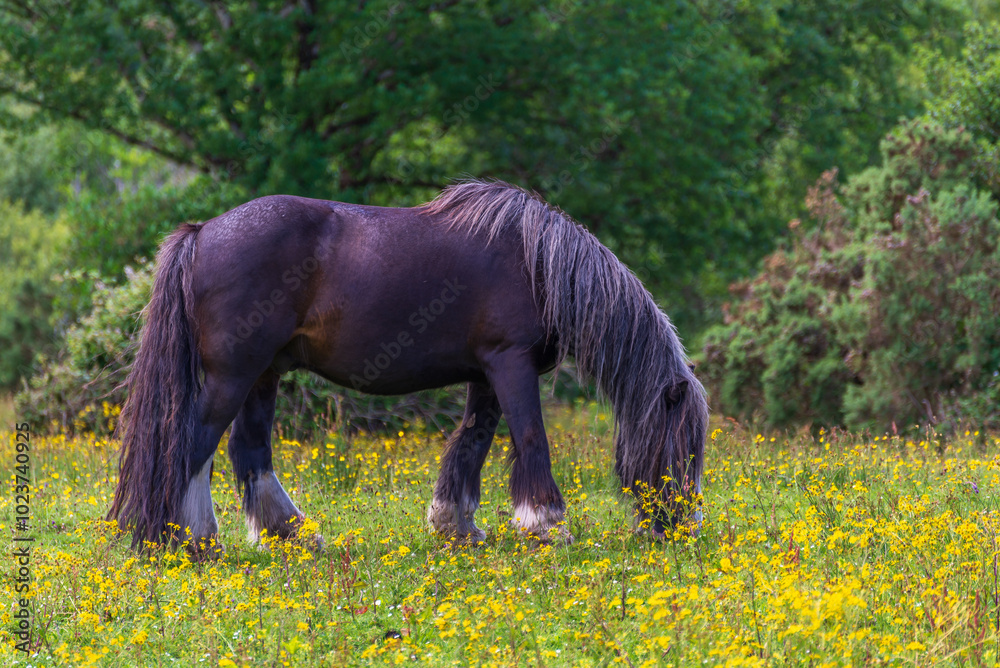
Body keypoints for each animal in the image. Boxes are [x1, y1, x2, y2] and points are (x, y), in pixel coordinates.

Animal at [107, 179, 708, 554]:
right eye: (681, 447)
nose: (683, 528)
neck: (539, 263)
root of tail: (203, 231)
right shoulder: (511, 363)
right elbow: (531, 438)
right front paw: (546, 525)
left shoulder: (486, 374)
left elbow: (472, 442)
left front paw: (455, 525)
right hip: (234, 374)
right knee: (191, 444)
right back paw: (186, 540)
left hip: (264, 374)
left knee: (248, 452)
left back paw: (291, 534)